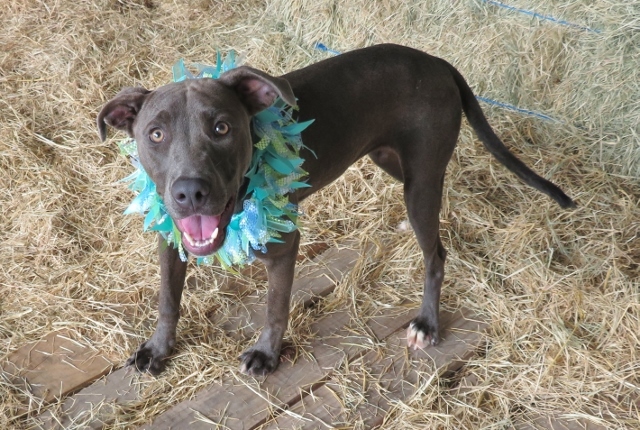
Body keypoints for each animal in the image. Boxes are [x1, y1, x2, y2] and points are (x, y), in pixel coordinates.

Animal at [96, 42, 576, 374]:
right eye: (155, 134)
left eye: (221, 128)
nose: (189, 192)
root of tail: (440, 64)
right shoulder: (169, 237)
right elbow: (167, 300)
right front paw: (158, 349)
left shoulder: (284, 247)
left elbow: (275, 308)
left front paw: (267, 355)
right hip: (393, 161)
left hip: (420, 179)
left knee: (436, 254)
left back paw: (427, 322)